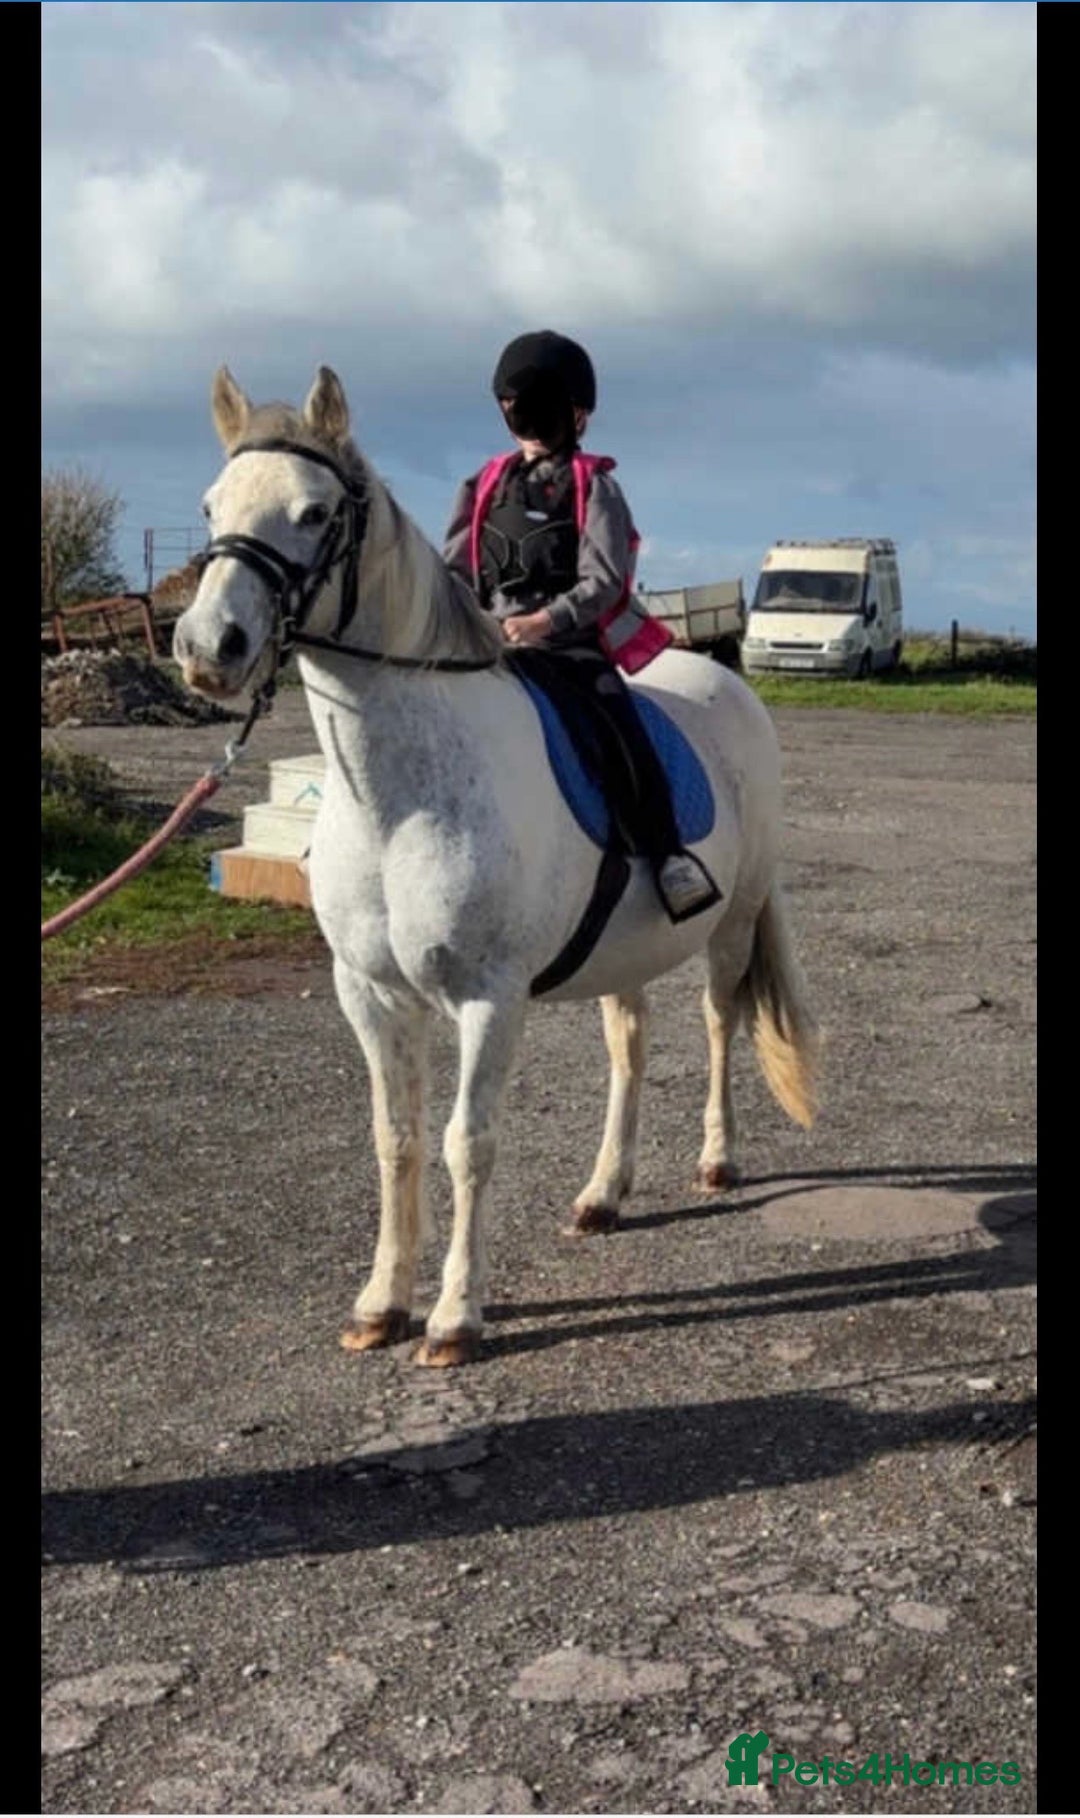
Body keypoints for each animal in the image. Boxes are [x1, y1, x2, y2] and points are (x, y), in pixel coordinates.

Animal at [174, 365, 819, 1366]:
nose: (210, 650)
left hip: (734, 922)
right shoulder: (369, 994)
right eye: (211, 507)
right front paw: (380, 1304)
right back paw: (603, 1194)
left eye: (316, 513)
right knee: (630, 1045)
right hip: (623, 950)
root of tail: (727, 682)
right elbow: (396, 1139)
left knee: (720, 1023)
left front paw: (453, 1316)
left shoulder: (489, 997)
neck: (398, 800)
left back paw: (716, 1159)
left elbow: (465, 1143)